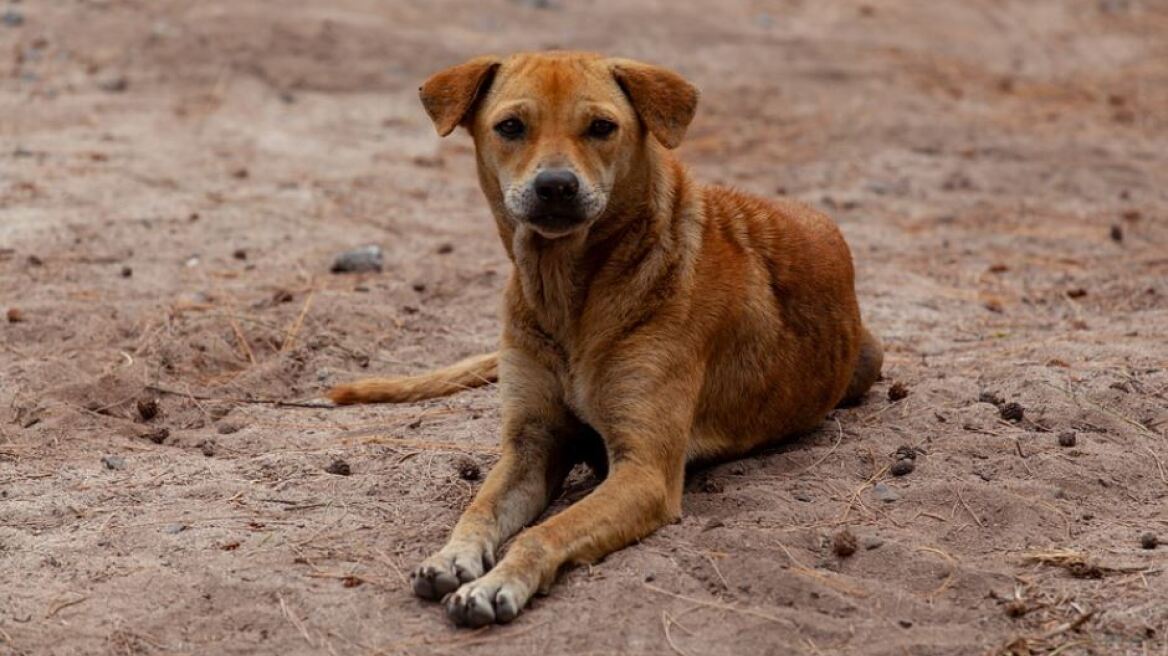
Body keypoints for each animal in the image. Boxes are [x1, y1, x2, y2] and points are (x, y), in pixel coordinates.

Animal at [324, 51, 878, 620]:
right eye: (510, 126)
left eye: (601, 127)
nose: (556, 186)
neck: (569, 294)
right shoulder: (530, 445)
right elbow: (478, 508)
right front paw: (452, 556)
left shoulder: (644, 472)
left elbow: (544, 532)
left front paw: (496, 583)